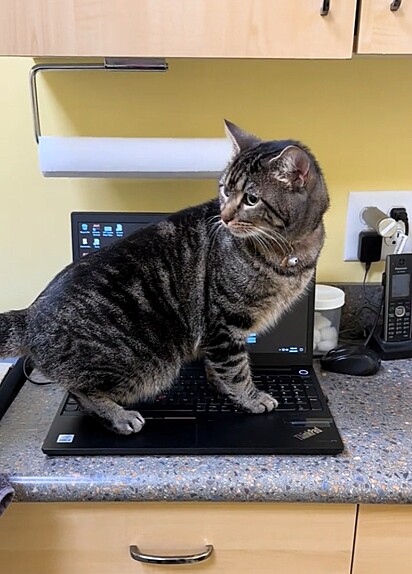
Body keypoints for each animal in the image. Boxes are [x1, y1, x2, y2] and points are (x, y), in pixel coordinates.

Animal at [0, 121, 328, 436]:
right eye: (224, 189)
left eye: (251, 199)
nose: (224, 216)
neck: (288, 250)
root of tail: (28, 316)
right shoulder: (224, 322)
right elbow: (235, 369)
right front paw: (250, 397)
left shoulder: (218, 333)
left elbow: (218, 367)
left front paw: (223, 388)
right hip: (143, 364)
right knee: (80, 391)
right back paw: (120, 416)